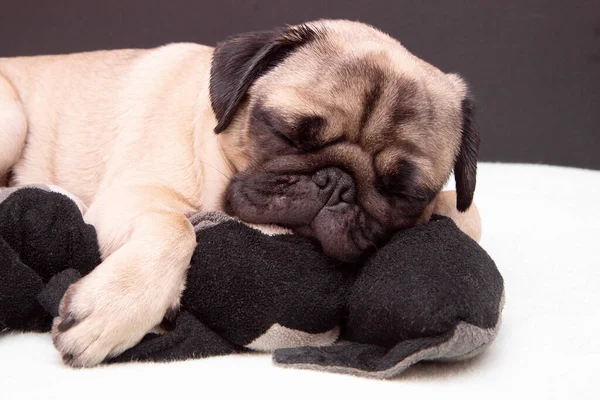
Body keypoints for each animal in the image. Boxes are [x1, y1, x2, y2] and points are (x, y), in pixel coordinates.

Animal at [0, 20, 478, 368]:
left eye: (403, 192)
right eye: (286, 134)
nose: (337, 183)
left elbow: (466, 212)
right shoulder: (132, 194)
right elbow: (175, 228)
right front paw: (114, 310)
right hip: (12, 117)